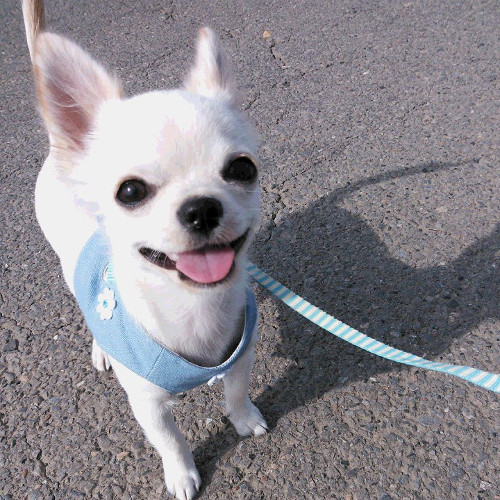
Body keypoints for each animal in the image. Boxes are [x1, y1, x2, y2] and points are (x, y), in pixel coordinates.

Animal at [21, 1, 268, 498]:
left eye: (242, 169)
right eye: (131, 192)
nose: (201, 207)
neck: (194, 309)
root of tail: (60, 149)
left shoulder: (241, 355)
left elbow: (235, 391)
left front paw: (243, 418)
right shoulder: (148, 404)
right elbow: (170, 439)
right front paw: (182, 474)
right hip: (67, 267)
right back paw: (102, 349)